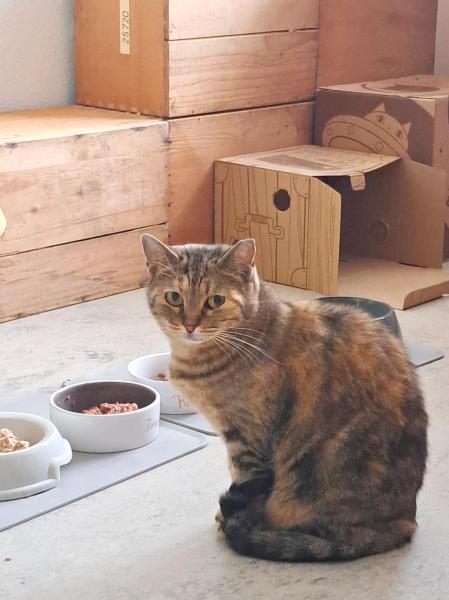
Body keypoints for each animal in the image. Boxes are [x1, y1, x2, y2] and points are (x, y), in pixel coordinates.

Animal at [141, 235, 427, 562]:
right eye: (174, 297)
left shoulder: (247, 440)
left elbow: (242, 481)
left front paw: (229, 519)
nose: (189, 325)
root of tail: (405, 523)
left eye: (216, 300)